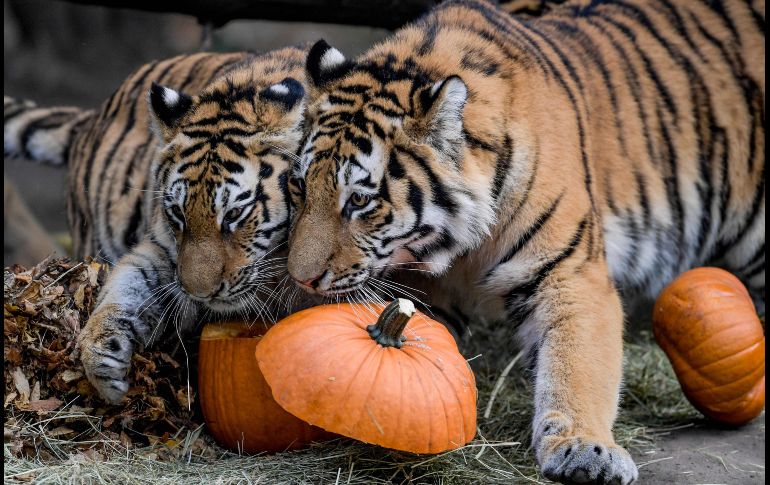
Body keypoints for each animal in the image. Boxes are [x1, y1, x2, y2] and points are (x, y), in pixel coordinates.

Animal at [5, 47, 309, 403]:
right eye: (178, 213)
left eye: (234, 215)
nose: (200, 295)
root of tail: (92, 119)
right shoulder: (163, 251)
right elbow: (126, 286)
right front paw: (103, 358)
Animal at [286, 0, 764, 483]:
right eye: (301, 185)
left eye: (360, 200)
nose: (301, 278)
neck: (459, 245)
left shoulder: (569, 271)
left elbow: (576, 363)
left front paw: (587, 451)